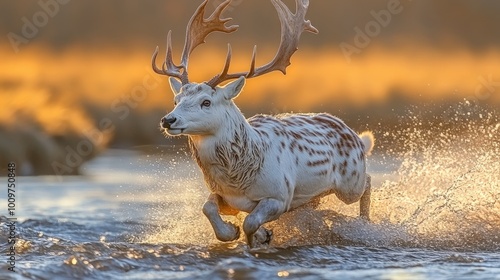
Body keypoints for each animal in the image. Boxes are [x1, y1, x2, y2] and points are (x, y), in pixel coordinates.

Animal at [153, 0, 376, 248]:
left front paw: (257, 239)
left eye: (206, 102)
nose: (168, 119)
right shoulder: (227, 197)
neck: (240, 177)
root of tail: (356, 137)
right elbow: (208, 207)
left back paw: (365, 223)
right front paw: (236, 232)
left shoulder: (280, 196)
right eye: (176, 100)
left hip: (350, 181)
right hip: (314, 197)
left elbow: (250, 222)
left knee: (367, 181)